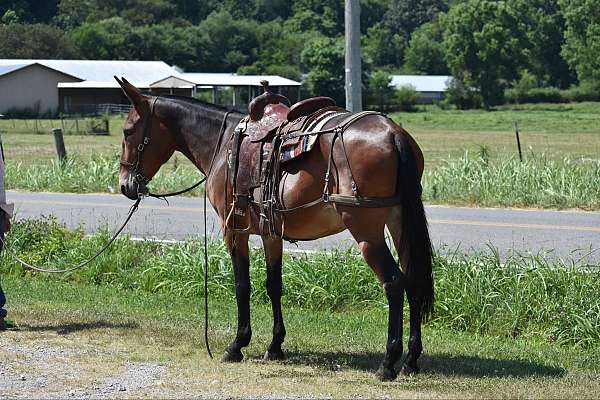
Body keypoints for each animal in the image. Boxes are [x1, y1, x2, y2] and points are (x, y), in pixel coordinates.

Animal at [115, 76, 432, 380]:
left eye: (128, 131)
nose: (125, 185)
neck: (222, 143)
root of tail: (393, 133)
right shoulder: (271, 234)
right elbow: (274, 285)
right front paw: (275, 345)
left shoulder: (234, 231)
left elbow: (242, 285)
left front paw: (237, 344)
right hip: (399, 223)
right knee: (413, 279)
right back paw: (411, 360)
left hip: (366, 231)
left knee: (394, 282)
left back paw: (388, 362)